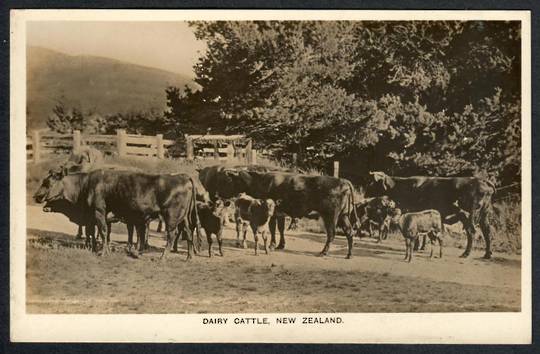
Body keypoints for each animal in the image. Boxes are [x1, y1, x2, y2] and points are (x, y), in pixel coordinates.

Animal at [364, 172, 496, 260]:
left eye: (372, 182)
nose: (365, 193)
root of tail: (483, 181)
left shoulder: (415, 212)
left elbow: (419, 233)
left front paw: (417, 247)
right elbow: (425, 233)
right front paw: (422, 247)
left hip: (468, 213)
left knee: (471, 231)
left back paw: (466, 253)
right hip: (484, 214)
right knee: (487, 231)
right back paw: (487, 254)